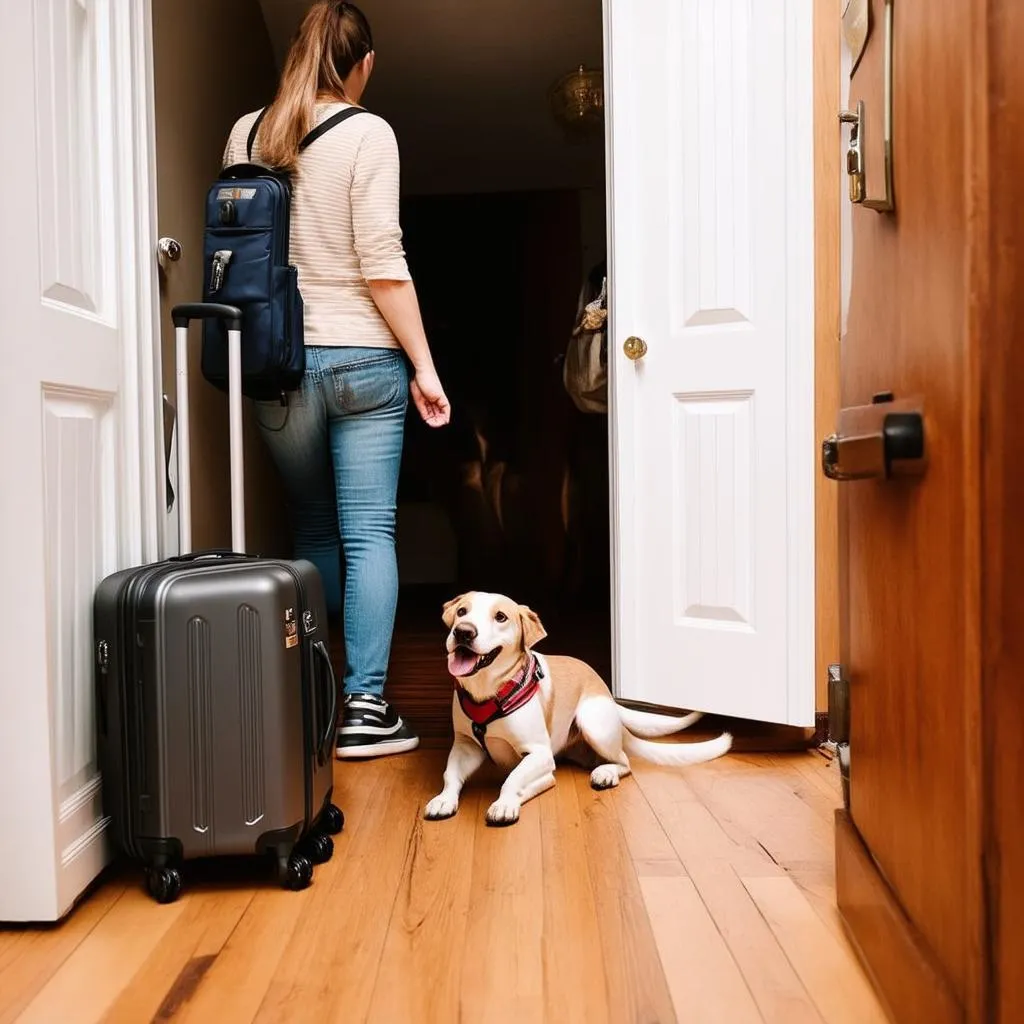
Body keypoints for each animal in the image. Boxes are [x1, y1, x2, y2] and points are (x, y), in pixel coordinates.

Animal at [423, 593, 737, 823]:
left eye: (500, 617)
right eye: (462, 611)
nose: (463, 632)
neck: (489, 692)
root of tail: (609, 696)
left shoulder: (539, 753)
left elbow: (513, 778)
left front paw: (506, 803)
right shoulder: (465, 746)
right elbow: (450, 775)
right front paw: (444, 798)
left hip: (592, 721)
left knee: (625, 761)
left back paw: (606, 773)